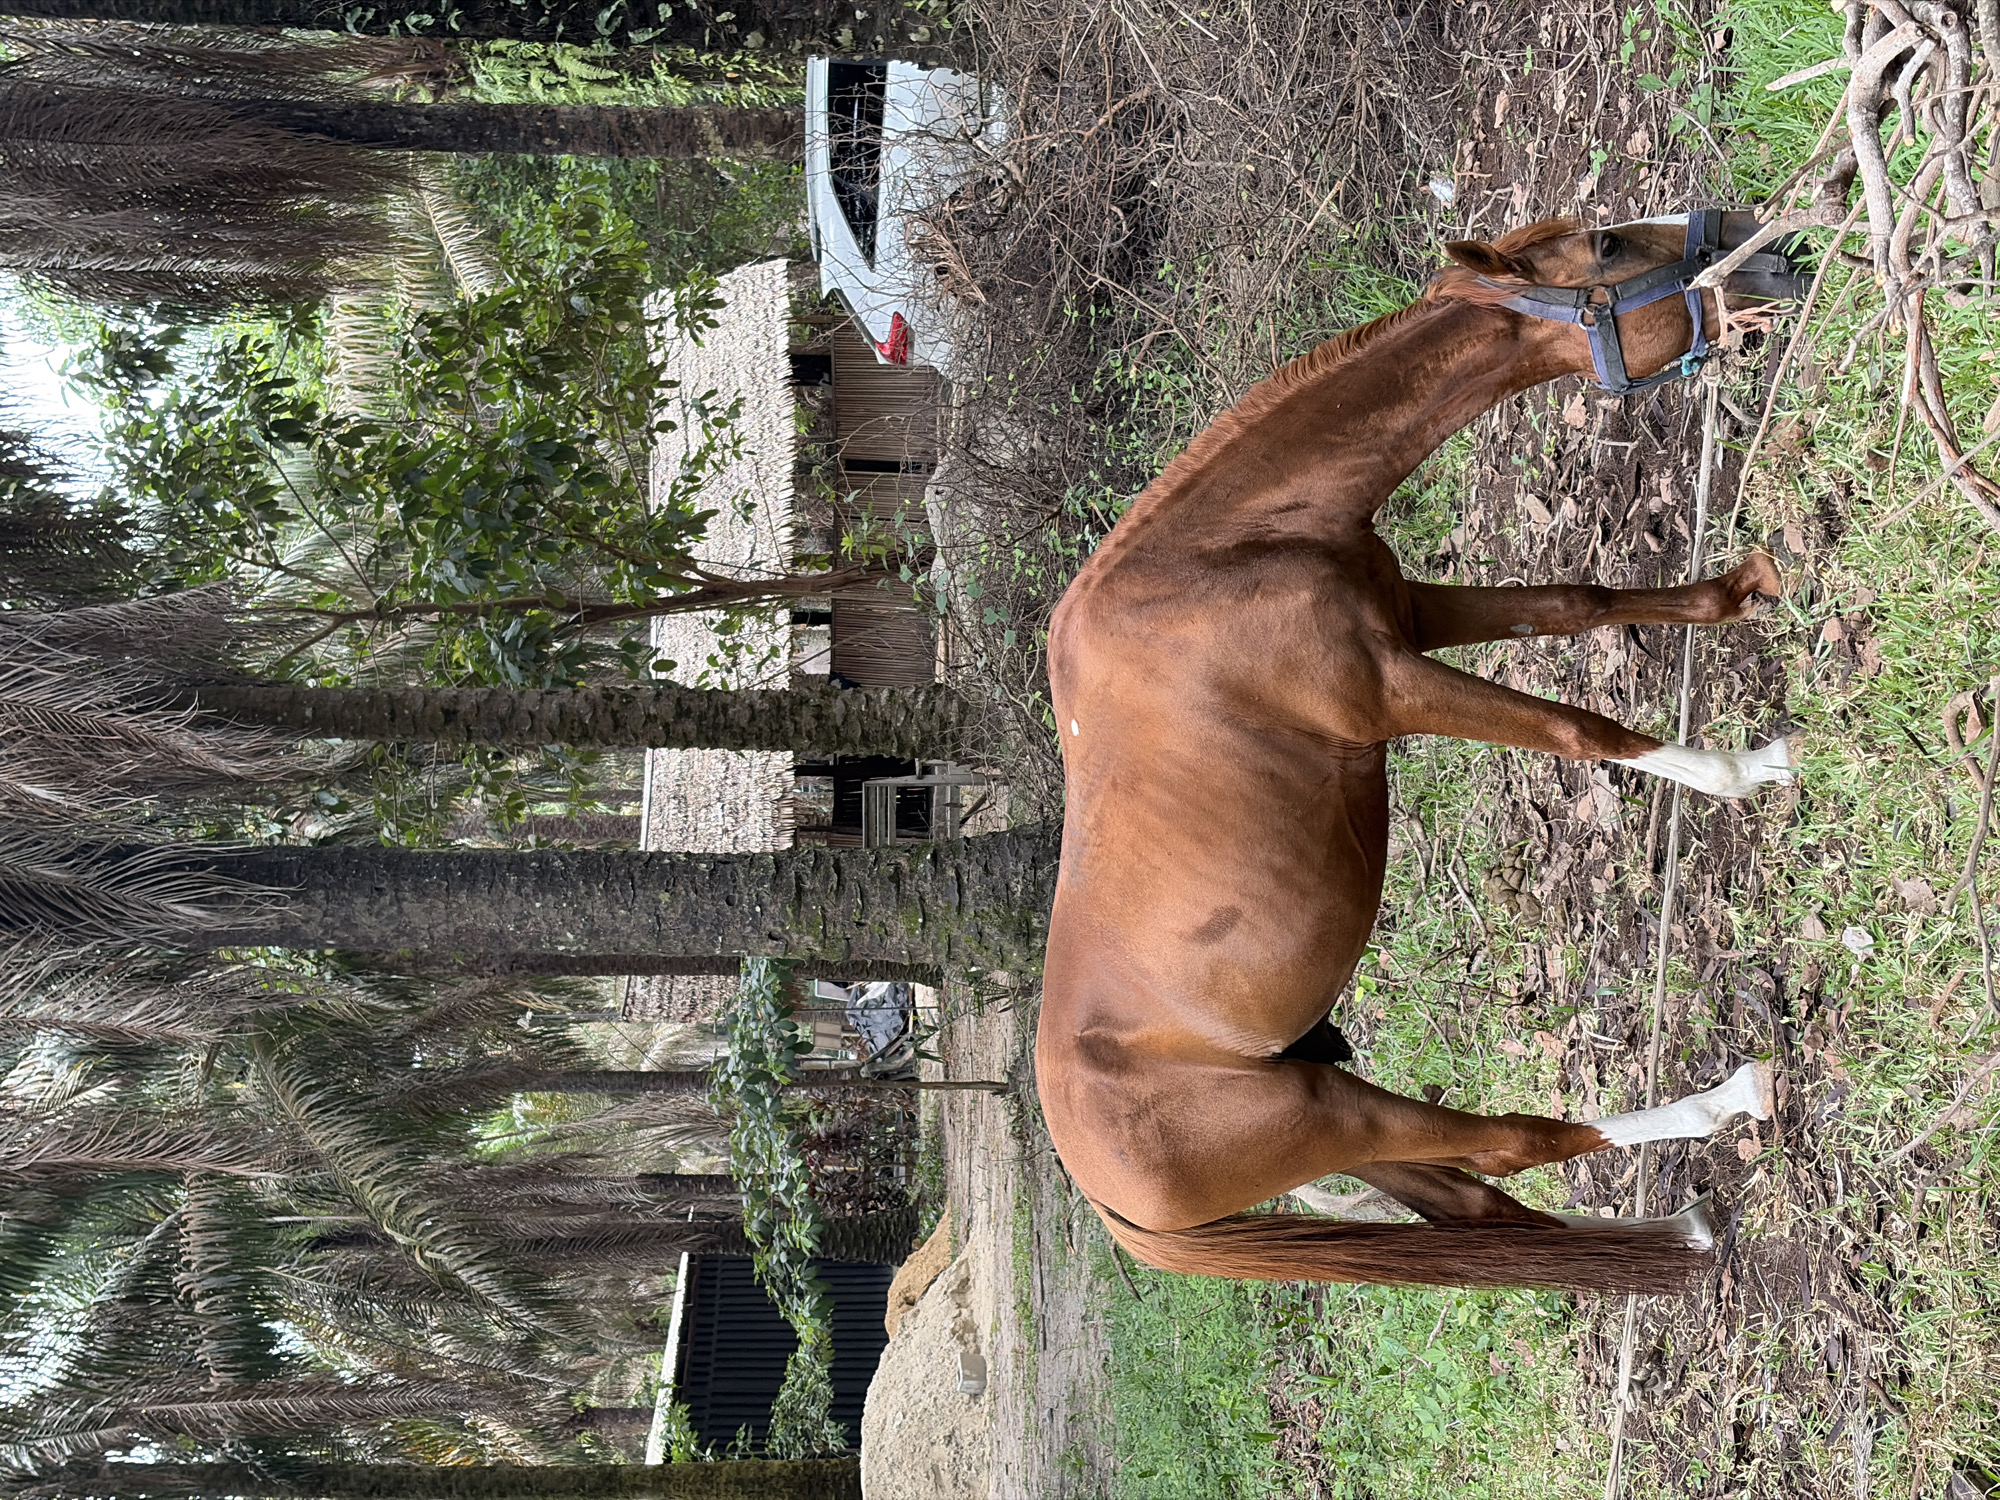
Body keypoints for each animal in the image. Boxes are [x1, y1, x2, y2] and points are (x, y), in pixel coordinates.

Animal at [1036, 210, 1808, 1293]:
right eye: (1608, 247)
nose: (1769, 249)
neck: (1219, 560)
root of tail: (1104, 1191)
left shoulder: (1414, 614)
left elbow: (1576, 601)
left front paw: (1741, 587)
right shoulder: (1390, 690)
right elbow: (1580, 730)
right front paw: (1745, 773)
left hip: (1350, 1128)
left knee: (1492, 1213)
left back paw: (1682, 1232)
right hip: (1338, 1117)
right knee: (1513, 1147)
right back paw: (1726, 1103)